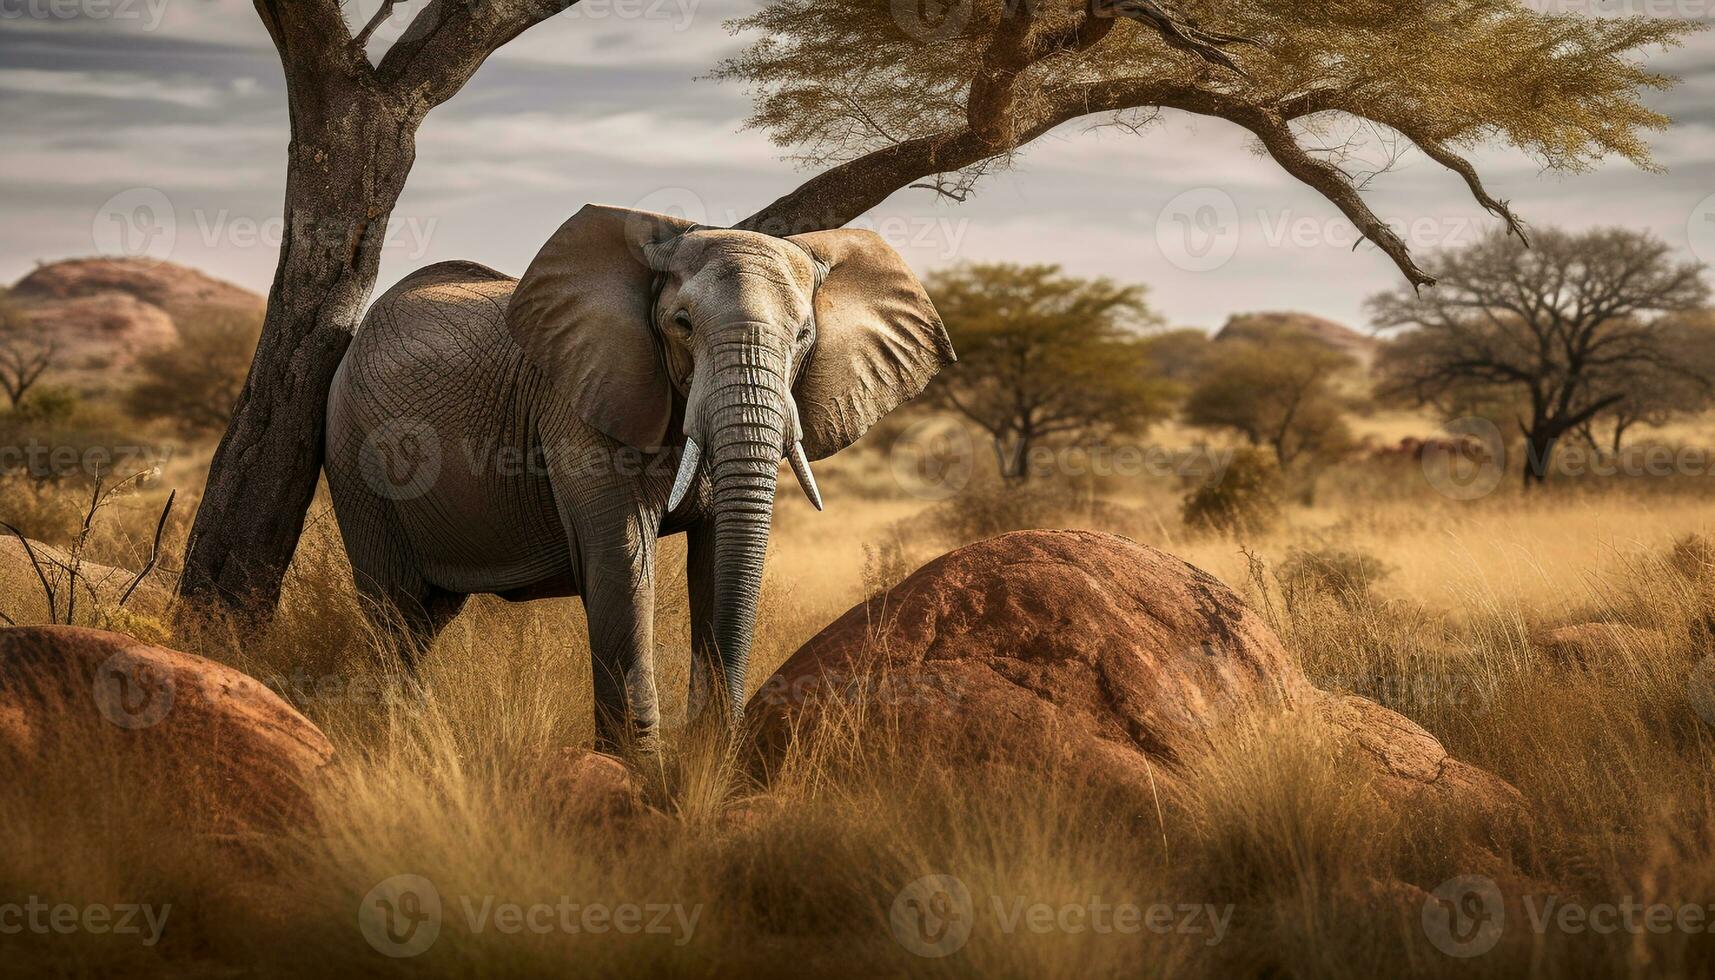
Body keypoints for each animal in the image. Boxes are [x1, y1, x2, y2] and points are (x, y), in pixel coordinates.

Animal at [324, 203, 953, 748]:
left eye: (803, 337)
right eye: (682, 324)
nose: (726, 740)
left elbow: (716, 559)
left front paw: (704, 761)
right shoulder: (579, 399)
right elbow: (621, 562)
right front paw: (637, 771)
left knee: (426, 618)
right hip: (354, 456)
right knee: (394, 609)